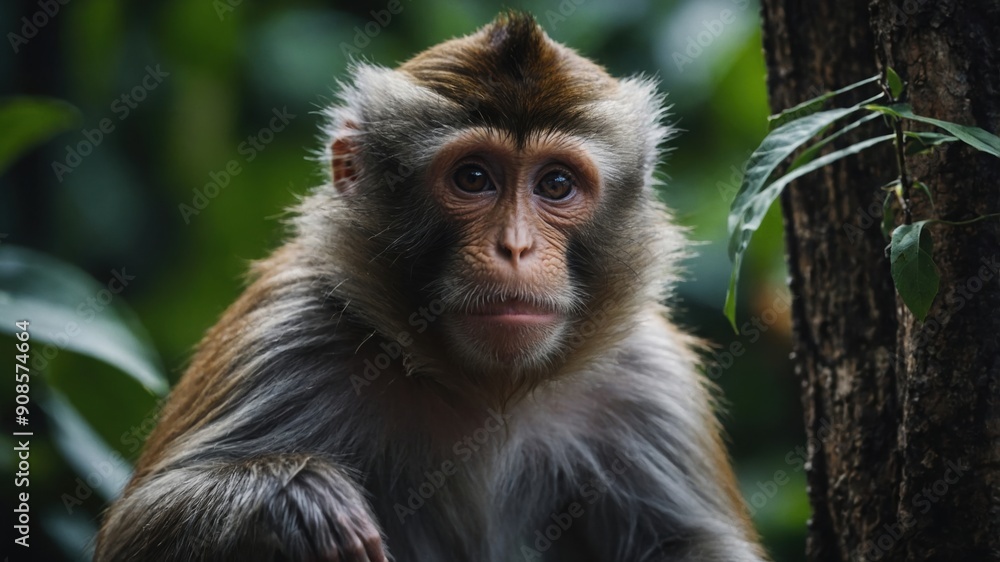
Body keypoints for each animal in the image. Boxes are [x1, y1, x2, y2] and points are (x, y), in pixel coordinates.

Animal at [95, 12, 768, 562]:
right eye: (473, 178)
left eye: (555, 185)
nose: (515, 248)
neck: (486, 389)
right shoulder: (291, 330)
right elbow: (134, 530)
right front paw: (295, 500)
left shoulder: (649, 378)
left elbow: (694, 545)